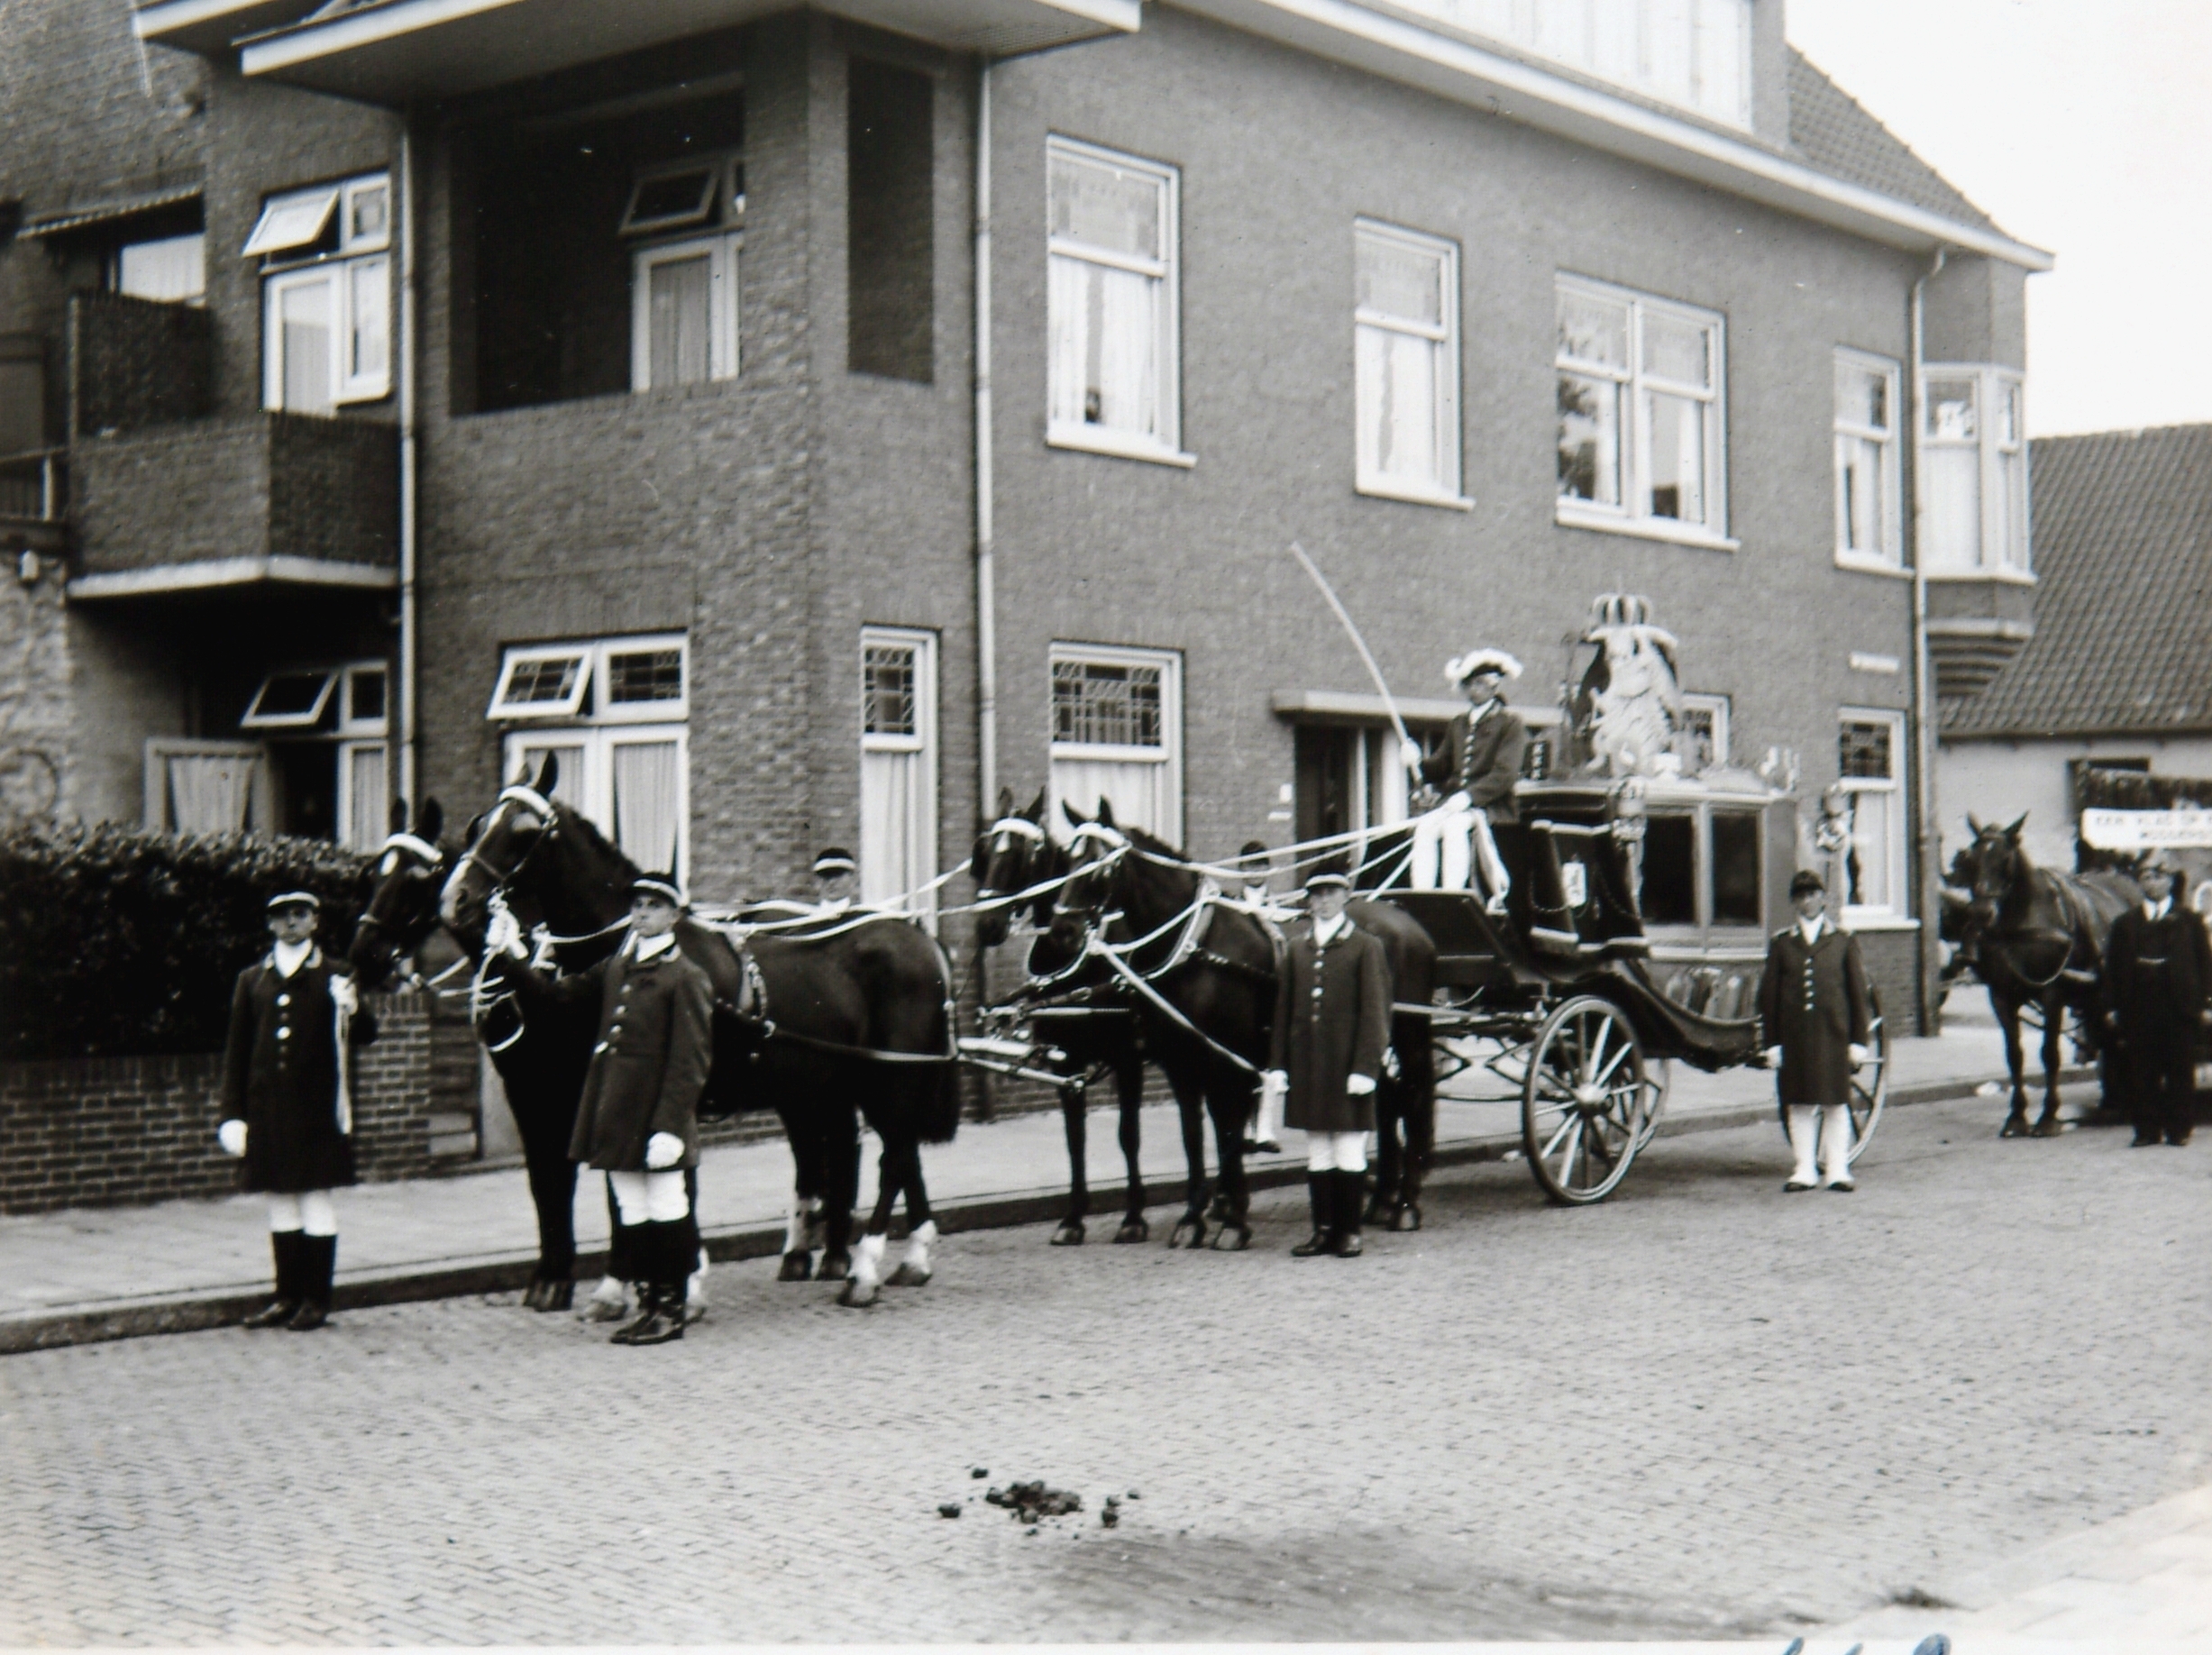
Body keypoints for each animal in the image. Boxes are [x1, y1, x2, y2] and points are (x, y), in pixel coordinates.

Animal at [440, 755, 961, 1306]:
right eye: (477, 825)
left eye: (522, 832)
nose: (455, 899)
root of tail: (920, 936)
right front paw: (632, 1282)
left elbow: (658, 1186)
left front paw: (672, 1281)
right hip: (837, 1081)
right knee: (890, 1153)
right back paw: (901, 1258)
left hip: (890, 1077)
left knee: (893, 1157)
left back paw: (863, 1269)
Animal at [969, 788, 1152, 1246]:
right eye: (985, 849)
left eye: (1021, 853)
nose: (986, 925)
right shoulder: (1066, 1062)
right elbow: (1075, 1138)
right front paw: (1072, 1218)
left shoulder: (1128, 1059)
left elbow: (1128, 1134)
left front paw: (1133, 1216)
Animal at [1964, 812, 2138, 1138]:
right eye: (1971, 858)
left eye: (2005, 859)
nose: (1981, 913)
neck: (2020, 923)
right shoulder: (2001, 995)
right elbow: (2014, 1056)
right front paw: (2016, 1117)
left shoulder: (2053, 993)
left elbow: (2049, 1054)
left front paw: (2048, 1117)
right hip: (2096, 999)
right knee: (2110, 1039)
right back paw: (2113, 1101)